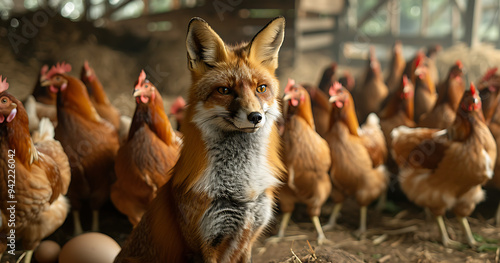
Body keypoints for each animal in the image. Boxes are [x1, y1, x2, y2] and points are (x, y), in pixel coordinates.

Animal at [114, 16, 286, 263]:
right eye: (224, 90)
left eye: (261, 88)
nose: (255, 117)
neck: (243, 189)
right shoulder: (202, 245)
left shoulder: (249, 238)